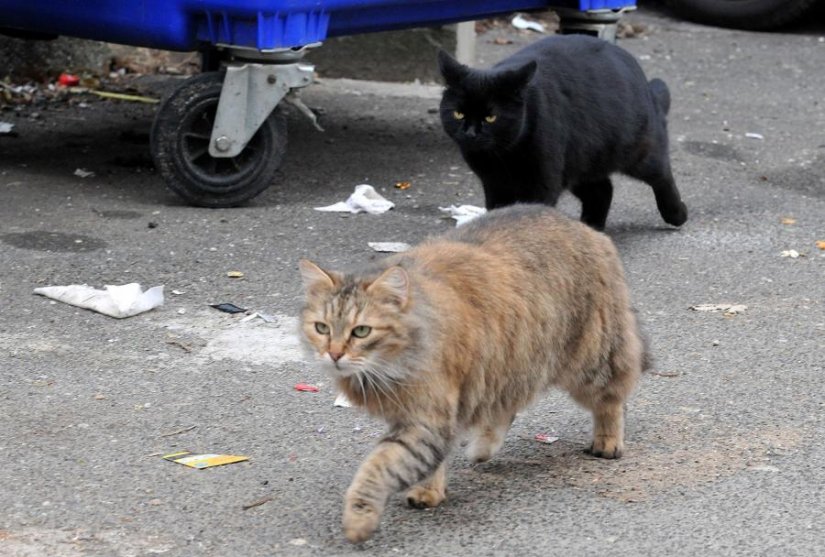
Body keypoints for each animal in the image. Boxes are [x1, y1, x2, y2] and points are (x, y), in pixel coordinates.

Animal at [300, 205, 648, 544]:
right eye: (322, 328)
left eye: (361, 331)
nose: (334, 354)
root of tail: (585, 227)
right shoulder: (427, 418)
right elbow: (429, 462)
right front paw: (429, 490)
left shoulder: (426, 418)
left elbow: (378, 468)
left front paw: (359, 517)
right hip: (509, 365)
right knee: (506, 409)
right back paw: (483, 449)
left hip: (592, 360)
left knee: (613, 399)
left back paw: (607, 441)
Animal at [440, 35, 684, 229]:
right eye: (458, 114)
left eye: (491, 117)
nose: (470, 133)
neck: (502, 156)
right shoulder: (494, 184)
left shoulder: (542, 182)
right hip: (581, 161)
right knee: (602, 190)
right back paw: (591, 228)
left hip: (636, 151)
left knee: (661, 173)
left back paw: (677, 214)